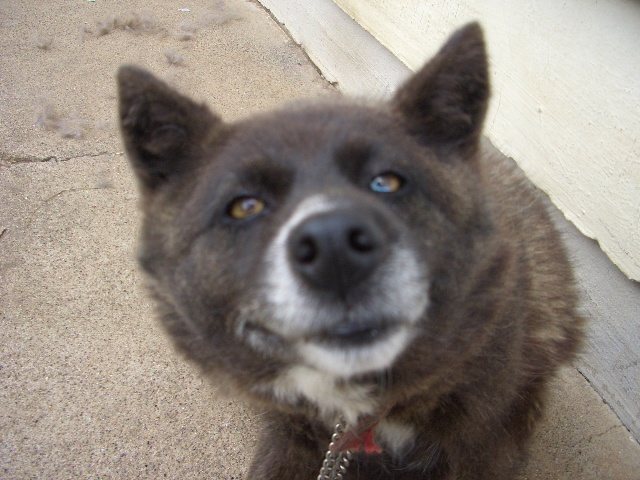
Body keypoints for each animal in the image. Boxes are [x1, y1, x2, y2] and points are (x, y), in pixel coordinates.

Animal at [118, 22, 584, 479]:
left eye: (386, 181)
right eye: (245, 206)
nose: (333, 248)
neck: (361, 412)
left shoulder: (486, 444)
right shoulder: (291, 434)